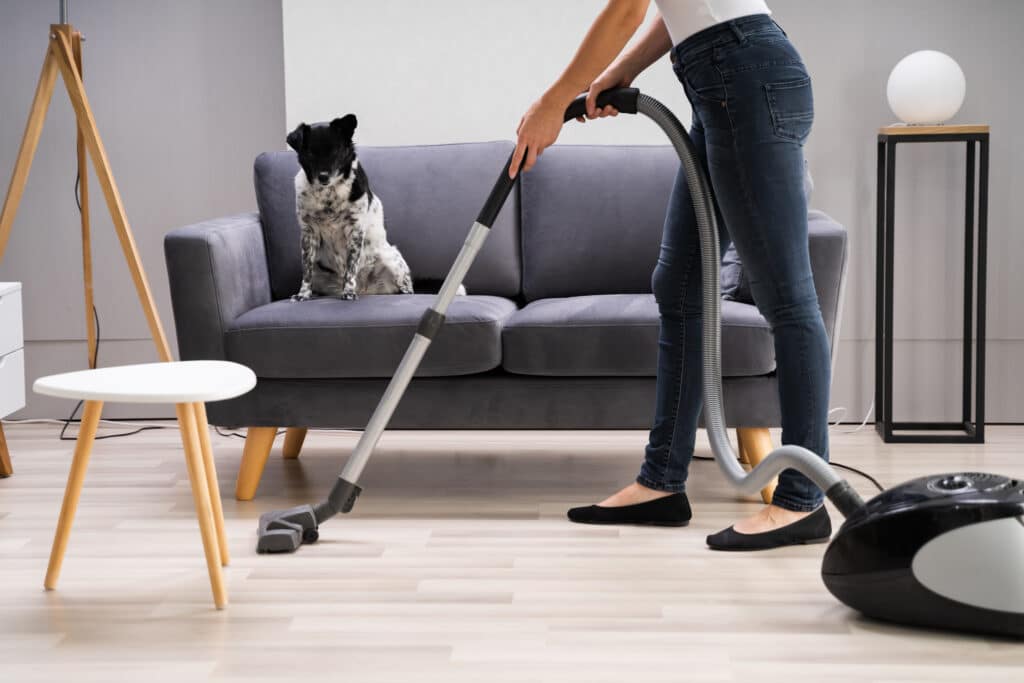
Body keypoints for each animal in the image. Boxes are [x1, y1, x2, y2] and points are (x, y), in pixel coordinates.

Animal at [284, 114, 411, 299]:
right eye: (310, 153)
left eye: (335, 151)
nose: (323, 177)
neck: (328, 194)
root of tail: (366, 290)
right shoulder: (308, 232)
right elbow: (306, 270)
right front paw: (303, 294)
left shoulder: (355, 229)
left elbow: (351, 267)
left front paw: (349, 292)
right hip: (320, 271)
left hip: (391, 260)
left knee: (405, 286)